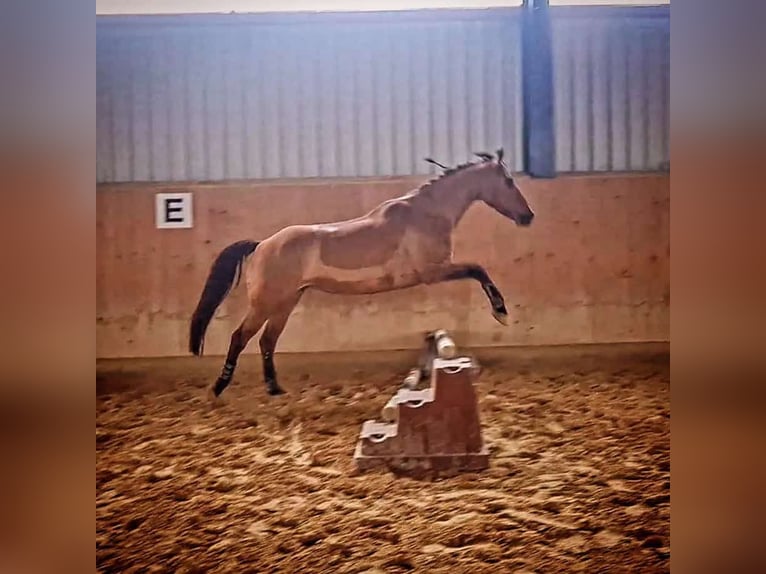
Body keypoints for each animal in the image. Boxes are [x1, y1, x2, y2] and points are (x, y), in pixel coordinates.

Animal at [189, 148, 534, 398]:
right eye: (508, 181)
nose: (528, 216)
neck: (427, 213)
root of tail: (261, 245)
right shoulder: (432, 271)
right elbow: (478, 269)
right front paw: (501, 312)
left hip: (286, 303)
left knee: (266, 341)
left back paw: (275, 389)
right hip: (265, 304)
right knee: (240, 337)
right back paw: (219, 387)